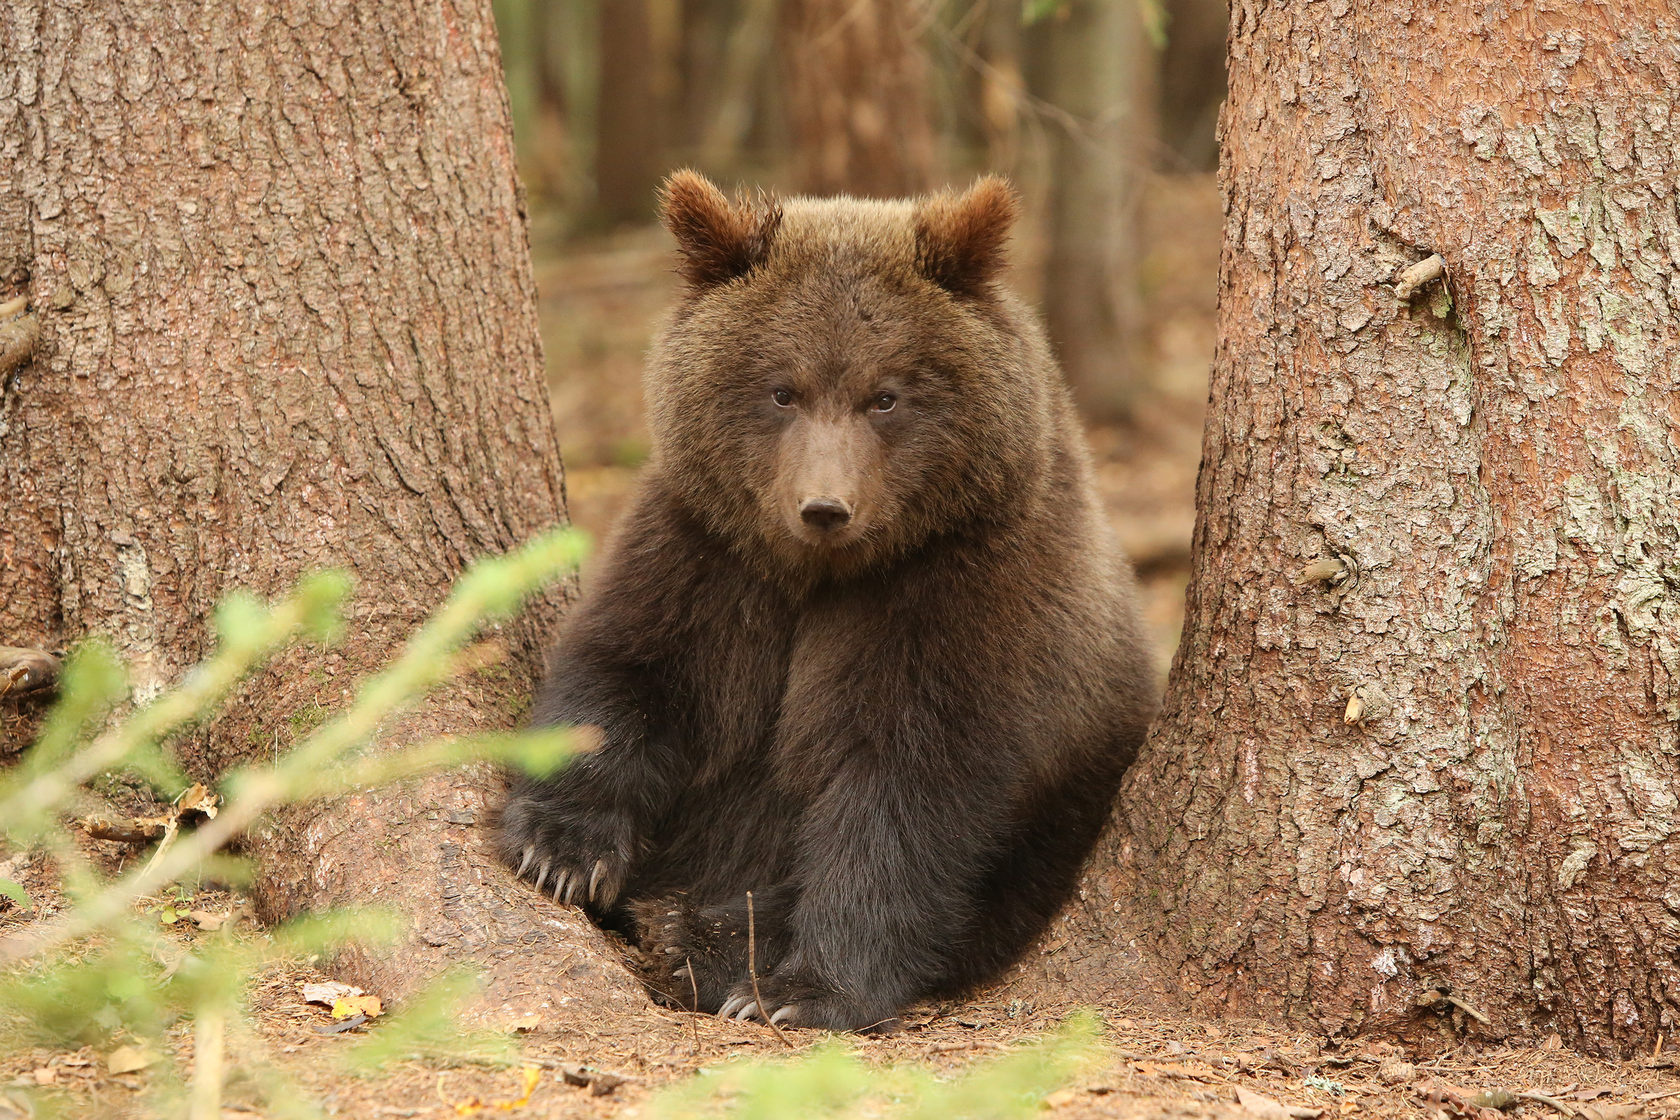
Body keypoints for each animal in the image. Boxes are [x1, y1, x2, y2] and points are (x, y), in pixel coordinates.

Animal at [497, 171, 1155, 1027]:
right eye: (783, 390)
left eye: (886, 395)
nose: (824, 507)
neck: (825, 575)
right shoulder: (711, 556)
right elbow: (631, 672)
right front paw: (561, 850)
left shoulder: (965, 600)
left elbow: (902, 794)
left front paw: (801, 991)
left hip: (1071, 801)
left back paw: (697, 936)